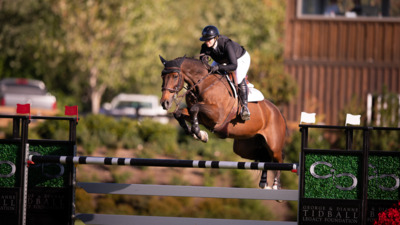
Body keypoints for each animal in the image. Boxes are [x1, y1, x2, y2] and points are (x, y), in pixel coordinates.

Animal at [158, 55, 286, 189]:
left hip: (274, 145)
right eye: (162, 76)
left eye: (175, 76)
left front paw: (199, 133)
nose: (164, 103)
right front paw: (196, 133)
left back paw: (275, 185)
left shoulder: (217, 115)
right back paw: (264, 183)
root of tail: (278, 112)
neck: (203, 84)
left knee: (278, 159)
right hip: (244, 147)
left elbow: (195, 109)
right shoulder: (201, 116)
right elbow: (179, 113)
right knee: (264, 157)